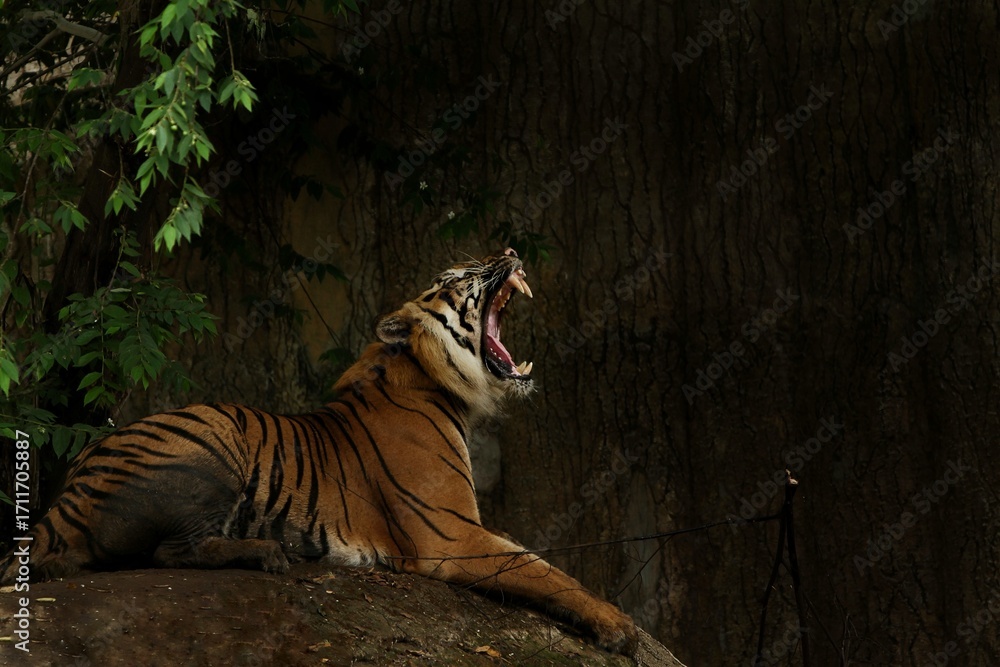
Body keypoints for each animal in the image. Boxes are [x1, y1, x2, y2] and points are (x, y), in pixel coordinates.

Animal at [0, 248, 638, 655]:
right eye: (463, 275)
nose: (510, 248)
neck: (435, 381)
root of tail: (70, 488)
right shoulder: (450, 535)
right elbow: (543, 569)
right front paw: (619, 627)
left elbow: (538, 561)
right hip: (215, 440)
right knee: (167, 553)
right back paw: (265, 553)